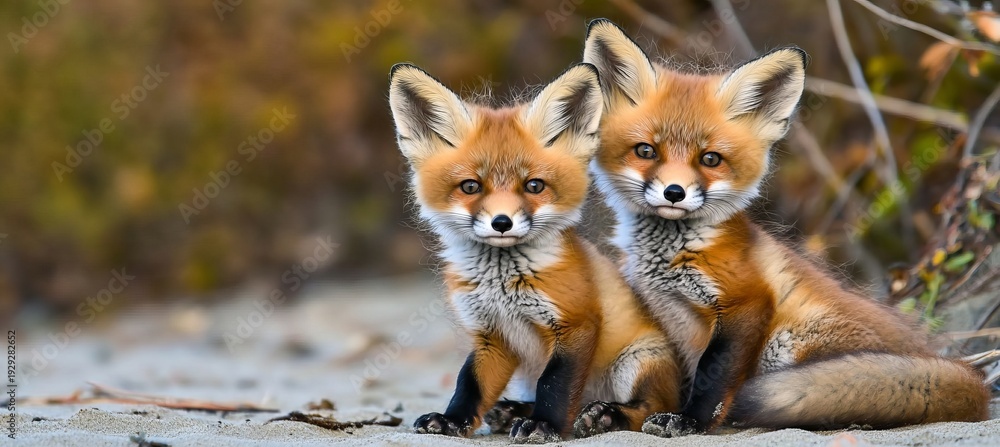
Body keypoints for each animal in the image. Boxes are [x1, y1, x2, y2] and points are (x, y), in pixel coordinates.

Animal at [387, 62, 684, 443]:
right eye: (470, 186)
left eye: (534, 186)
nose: (502, 223)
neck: (501, 288)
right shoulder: (490, 336)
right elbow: (469, 384)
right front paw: (452, 420)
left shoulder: (575, 324)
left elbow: (554, 384)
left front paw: (544, 425)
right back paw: (514, 410)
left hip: (636, 362)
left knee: (648, 406)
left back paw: (606, 416)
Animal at [580, 18, 991, 436]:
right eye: (646, 151)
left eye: (710, 159)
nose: (674, 193)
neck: (674, 254)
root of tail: (966, 375)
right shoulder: (667, 317)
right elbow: (665, 387)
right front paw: (634, 413)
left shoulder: (747, 302)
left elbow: (712, 379)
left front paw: (691, 421)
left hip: (791, 342)